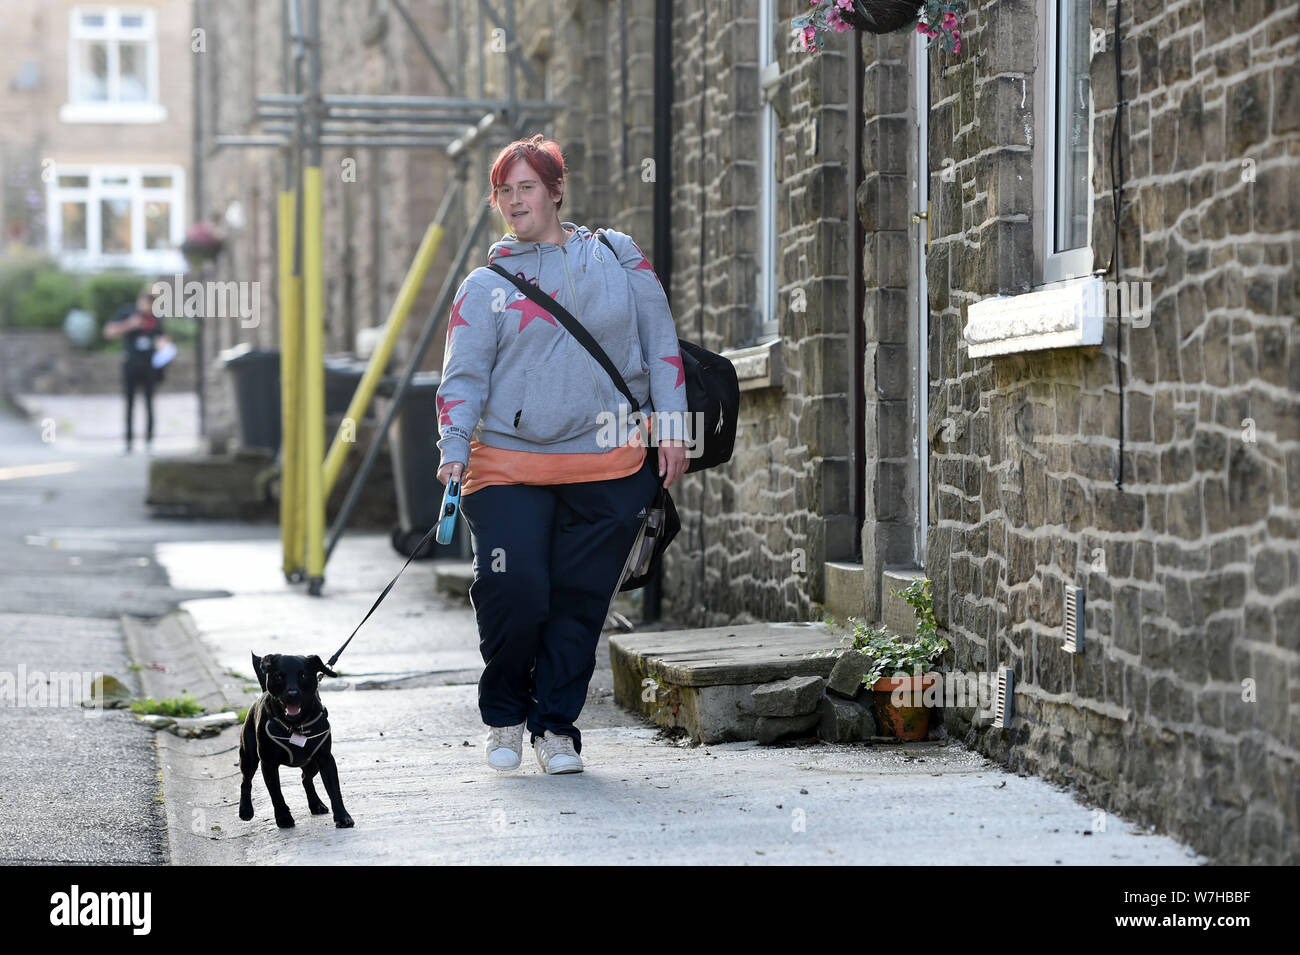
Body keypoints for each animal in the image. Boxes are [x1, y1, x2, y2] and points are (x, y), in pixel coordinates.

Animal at [239, 649, 356, 831]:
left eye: (303, 675)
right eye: (279, 676)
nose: (292, 694)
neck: (295, 725)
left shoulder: (325, 758)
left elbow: (334, 790)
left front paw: (343, 816)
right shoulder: (268, 764)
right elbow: (276, 794)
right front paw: (284, 818)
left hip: (312, 763)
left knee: (305, 779)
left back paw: (316, 804)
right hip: (249, 757)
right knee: (246, 781)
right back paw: (245, 810)